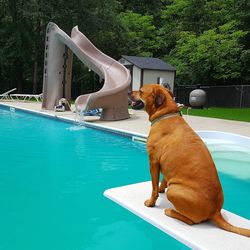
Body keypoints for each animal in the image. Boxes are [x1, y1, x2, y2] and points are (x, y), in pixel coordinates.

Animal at [130, 83, 250, 236]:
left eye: (140, 91)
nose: (128, 92)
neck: (165, 113)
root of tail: (215, 212)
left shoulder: (153, 162)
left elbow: (154, 188)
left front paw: (151, 203)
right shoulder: (164, 164)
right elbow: (164, 180)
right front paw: (162, 188)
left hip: (174, 190)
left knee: (192, 221)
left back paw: (170, 211)